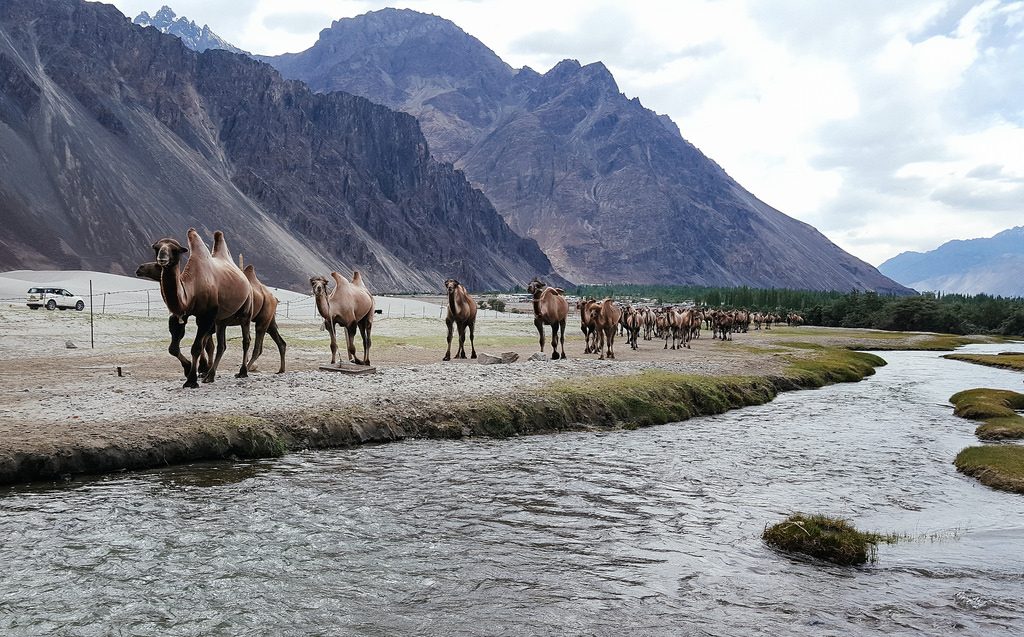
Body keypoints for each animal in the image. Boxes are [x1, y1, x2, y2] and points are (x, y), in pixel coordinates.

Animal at [152, 229, 254, 389]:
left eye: (174, 250)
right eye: (156, 247)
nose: (162, 258)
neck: (193, 288)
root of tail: (245, 279)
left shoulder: (206, 316)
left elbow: (196, 347)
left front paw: (191, 380)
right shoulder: (180, 314)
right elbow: (173, 348)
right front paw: (188, 369)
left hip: (246, 311)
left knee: (246, 340)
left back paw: (242, 372)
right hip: (221, 320)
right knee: (222, 345)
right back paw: (210, 376)